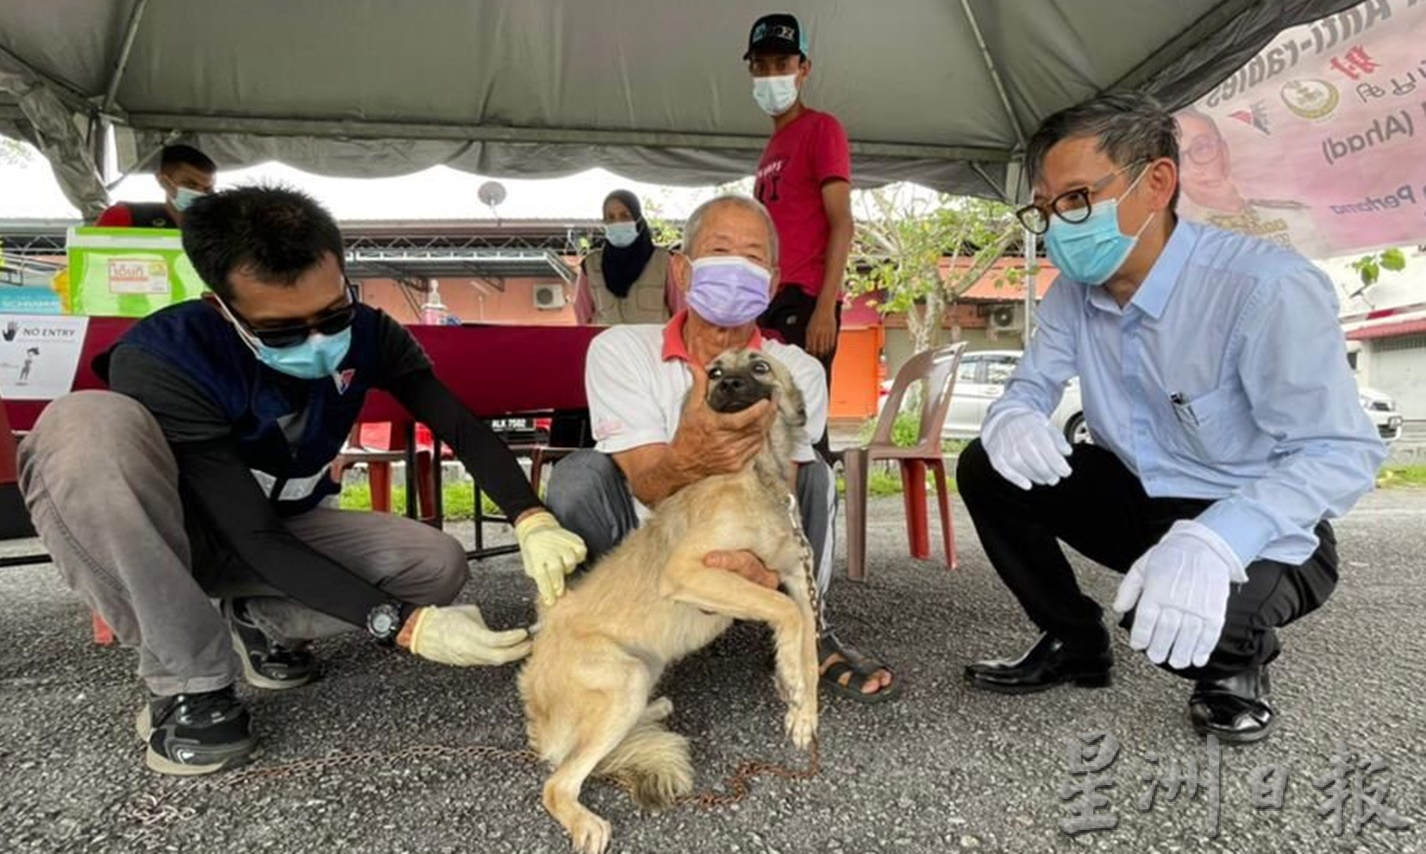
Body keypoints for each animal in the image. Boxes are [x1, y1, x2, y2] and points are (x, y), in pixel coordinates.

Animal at [519, 347, 821, 854]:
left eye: (759, 366)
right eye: (715, 371)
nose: (727, 386)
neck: (757, 475)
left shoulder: (798, 577)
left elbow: (807, 639)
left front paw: (804, 708)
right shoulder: (689, 571)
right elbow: (786, 614)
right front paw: (793, 682)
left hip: (642, 672)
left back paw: (657, 709)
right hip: (621, 682)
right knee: (556, 784)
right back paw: (585, 822)